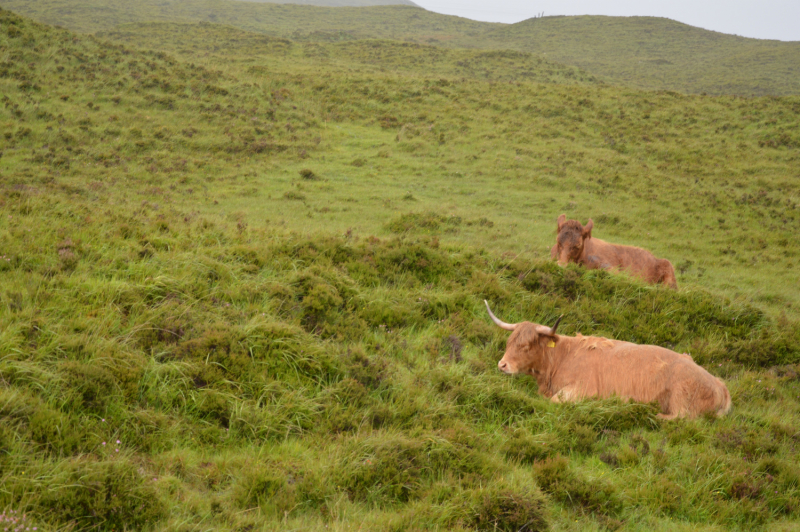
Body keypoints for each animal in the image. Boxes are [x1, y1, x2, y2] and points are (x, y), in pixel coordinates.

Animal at [484, 300, 736, 420]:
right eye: (508, 342)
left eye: (525, 346)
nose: (502, 365)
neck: (561, 359)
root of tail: (721, 385)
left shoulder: (580, 390)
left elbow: (555, 401)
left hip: (681, 397)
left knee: (681, 418)